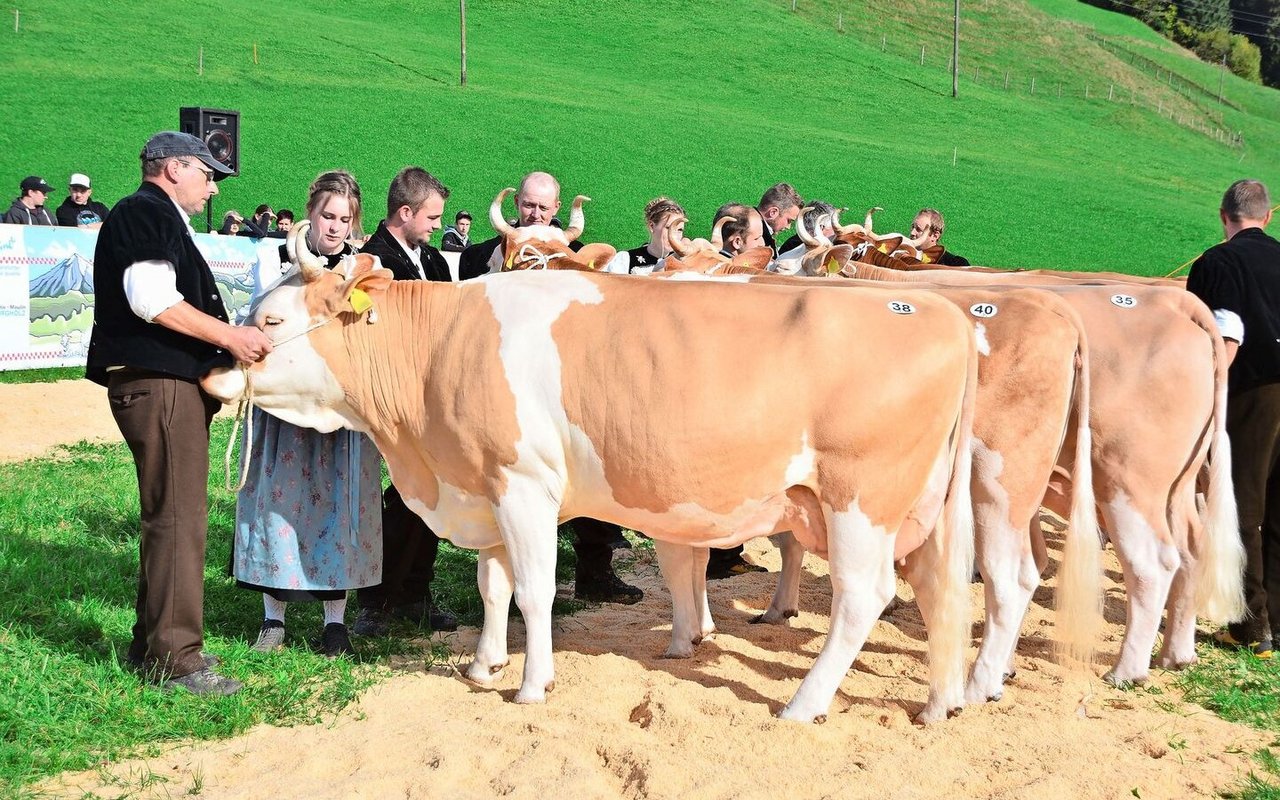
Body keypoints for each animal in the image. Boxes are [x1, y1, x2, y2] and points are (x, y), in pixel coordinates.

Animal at [202, 221, 977, 721]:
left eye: (270, 322)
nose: (213, 372)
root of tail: (936, 310)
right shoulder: (484, 488)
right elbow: (492, 588)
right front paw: (484, 664)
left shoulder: (524, 488)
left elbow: (535, 591)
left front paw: (530, 683)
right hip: (927, 507)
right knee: (941, 592)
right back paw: (940, 704)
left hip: (860, 500)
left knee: (862, 597)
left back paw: (804, 703)